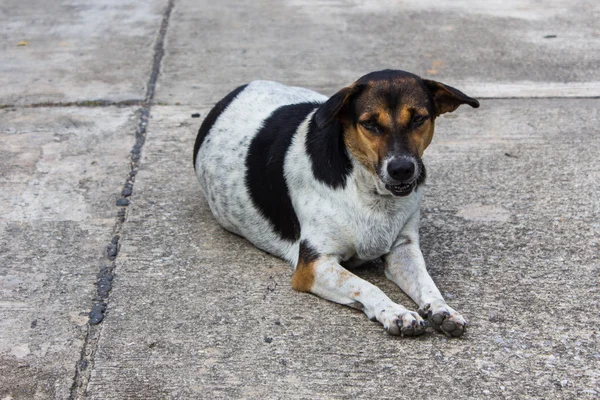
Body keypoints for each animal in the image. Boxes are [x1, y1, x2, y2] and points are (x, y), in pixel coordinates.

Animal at [195, 70, 480, 336]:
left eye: (419, 118)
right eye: (369, 124)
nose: (402, 169)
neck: (367, 190)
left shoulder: (403, 248)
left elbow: (426, 281)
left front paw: (442, 308)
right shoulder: (314, 266)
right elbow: (367, 287)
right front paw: (395, 312)